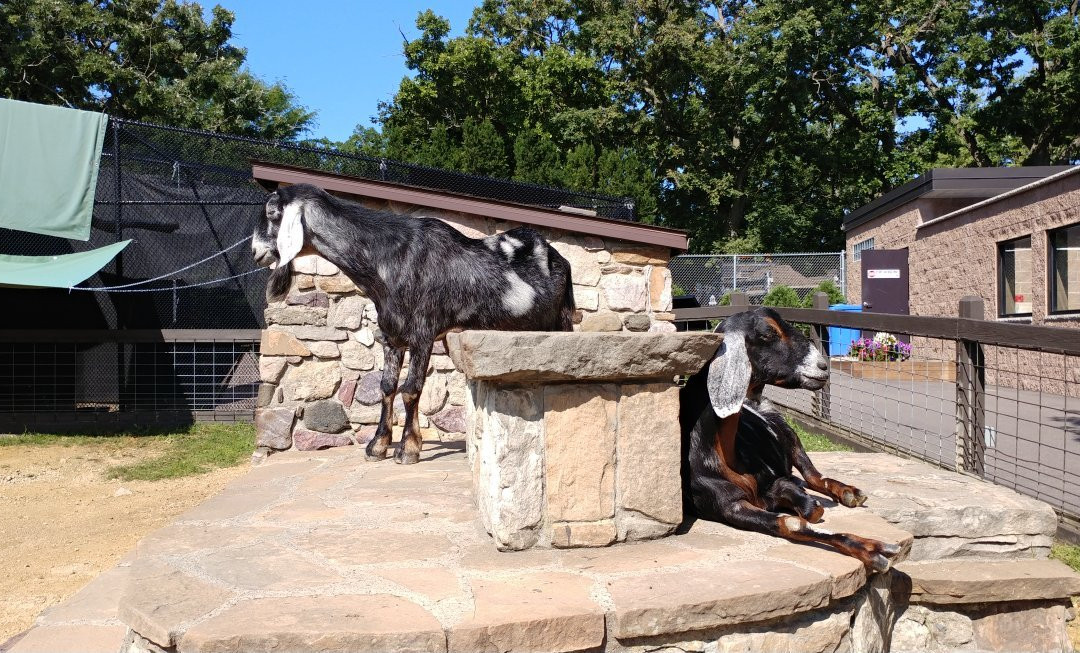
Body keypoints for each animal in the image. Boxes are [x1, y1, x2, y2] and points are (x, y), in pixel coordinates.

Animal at [252, 183, 574, 464]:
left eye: (272, 212)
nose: (255, 252)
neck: (388, 257)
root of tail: (561, 259)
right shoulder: (392, 337)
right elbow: (387, 387)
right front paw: (377, 446)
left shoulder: (423, 333)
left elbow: (411, 389)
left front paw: (407, 449)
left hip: (561, 322)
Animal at [682, 308, 902, 569]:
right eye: (768, 333)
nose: (822, 367)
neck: (724, 454)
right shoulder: (727, 507)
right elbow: (792, 522)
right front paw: (871, 549)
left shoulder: (772, 479)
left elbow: (805, 507)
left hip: (791, 437)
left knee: (814, 476)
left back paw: (849, 492)